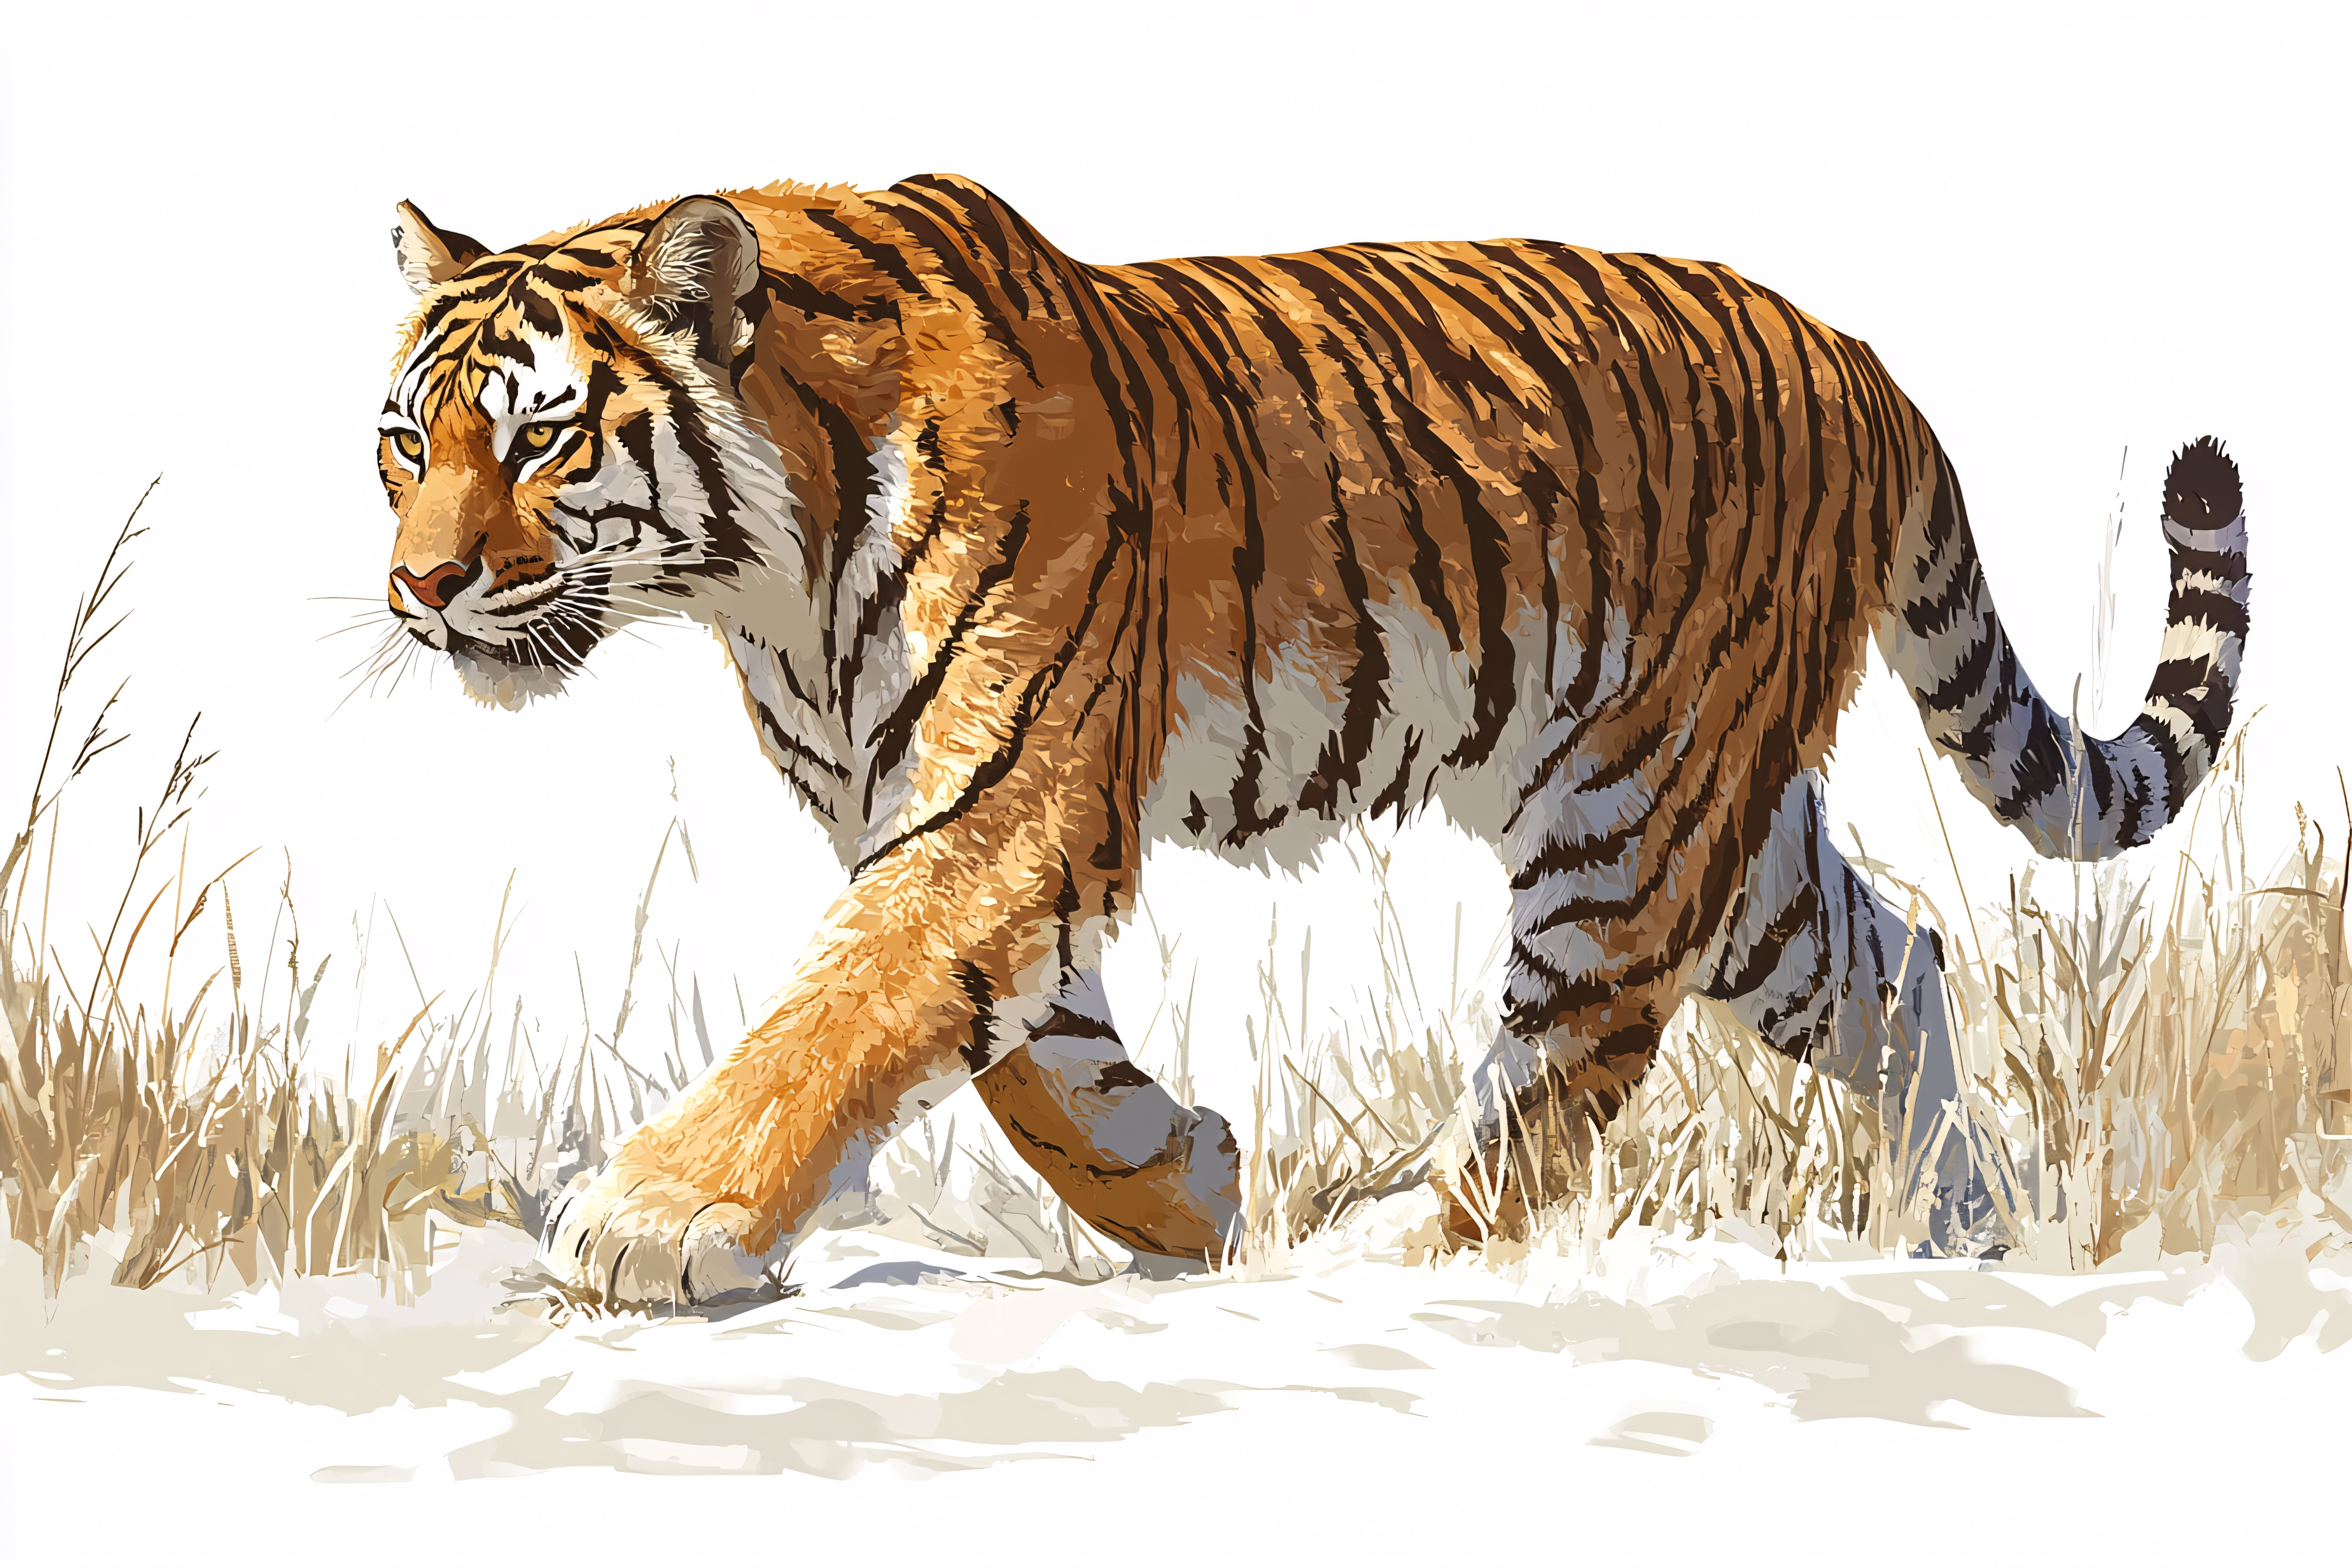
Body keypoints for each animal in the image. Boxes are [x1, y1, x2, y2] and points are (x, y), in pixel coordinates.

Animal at [377, 175, 2249, 1307]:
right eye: (406, 443)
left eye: (540, 439)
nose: (418, 587)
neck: (764, 578)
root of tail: (1862, 362)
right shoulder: (935, 813)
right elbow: (1026, 1060)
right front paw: (1184, 1187)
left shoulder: (1008, 800)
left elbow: (838, 1023)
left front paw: (654, 1221)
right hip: (1735, 842)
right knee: (1900, 959)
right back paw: (1960, 1230)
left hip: (1636, 810)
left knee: (1564, 1067)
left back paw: (1386, 1245)